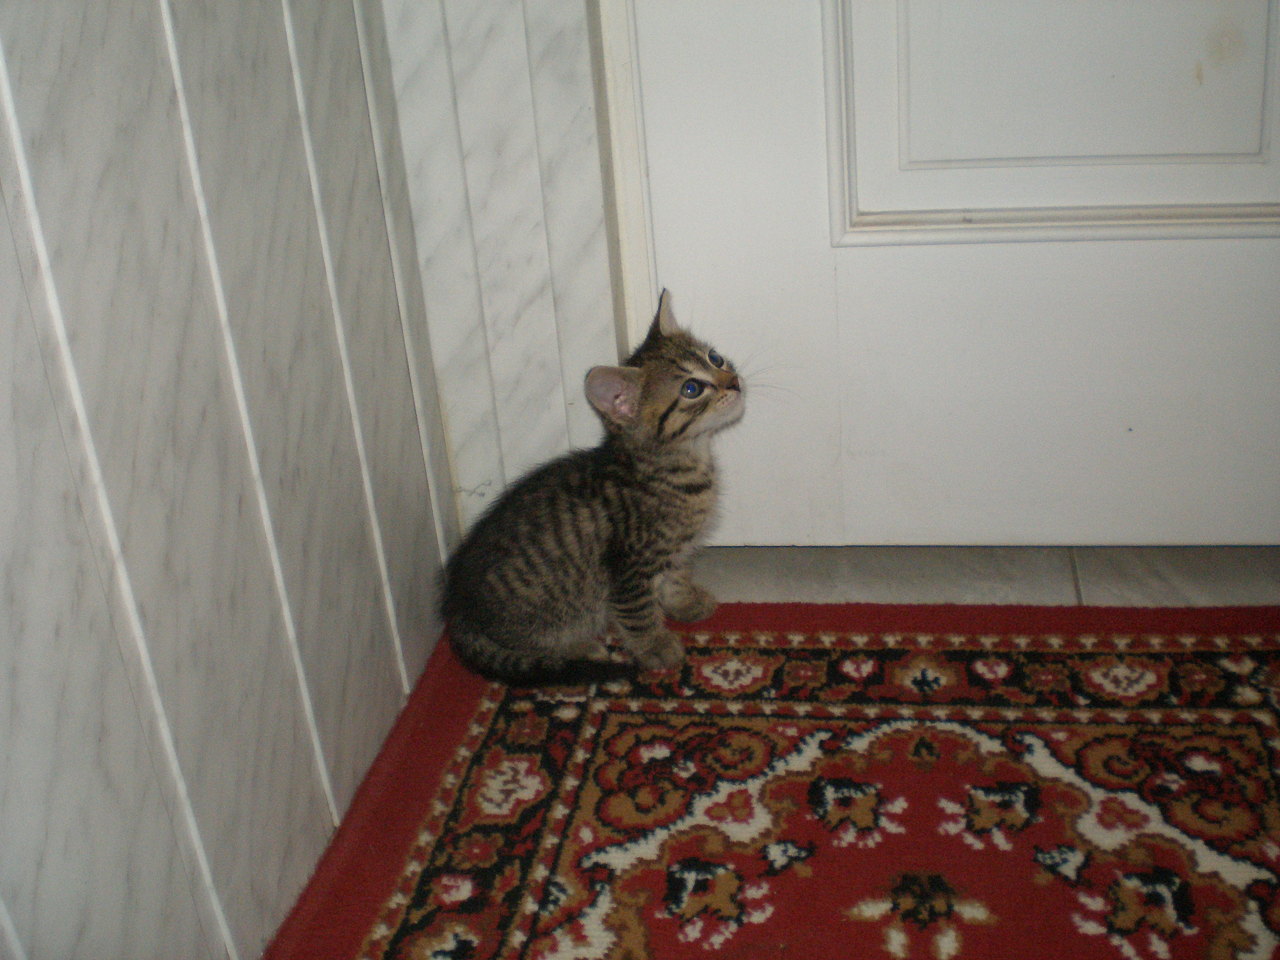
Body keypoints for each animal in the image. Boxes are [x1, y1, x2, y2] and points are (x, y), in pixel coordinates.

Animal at [441, 291, 744, 684]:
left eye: (715, 358)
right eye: (691, 389)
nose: (734, 381)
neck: (675, 464)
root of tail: (459, 612)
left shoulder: (674, 548)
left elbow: (675, 576)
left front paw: (685, 601)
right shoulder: (628, 567)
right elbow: (638, 614)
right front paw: (655, 647)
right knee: (529, 645)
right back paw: (578, 648)